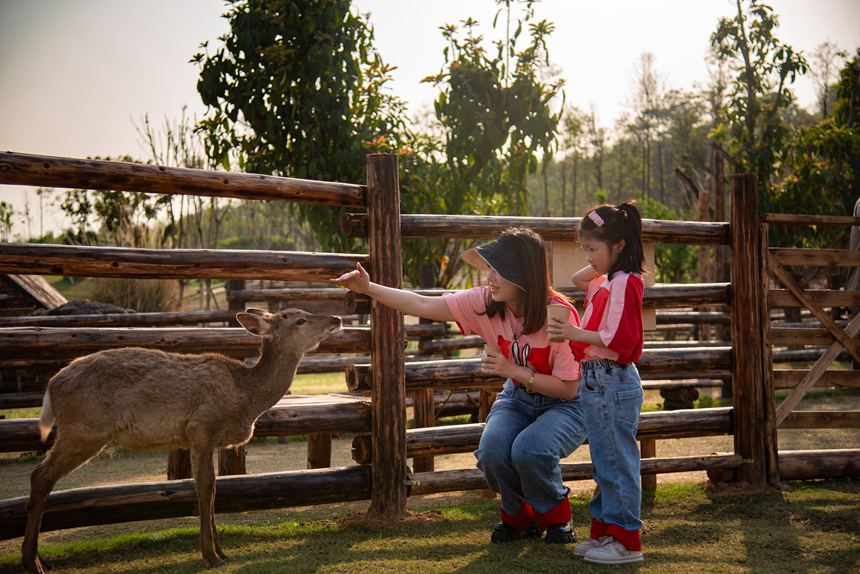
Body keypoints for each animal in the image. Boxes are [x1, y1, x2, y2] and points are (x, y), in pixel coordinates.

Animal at [21, 310, 340, 574]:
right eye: (299, 319)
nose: (336, 319)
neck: (246, 398)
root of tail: (51, 386)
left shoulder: (206, 440)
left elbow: (213, 489)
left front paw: (221, 551)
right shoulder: (201, 428)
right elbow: (205, 488)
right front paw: (211, 555)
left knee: (42, 477)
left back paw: (41, 560)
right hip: (84, 431)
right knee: (40, 475)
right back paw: (31, 562)